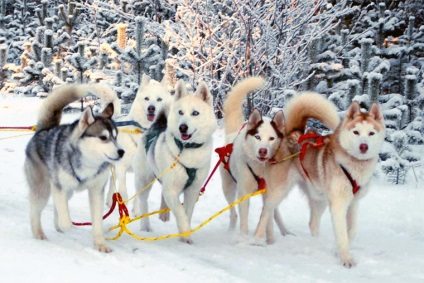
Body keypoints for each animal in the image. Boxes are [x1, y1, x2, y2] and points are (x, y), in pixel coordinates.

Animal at [25, 84, 124, 253]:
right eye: (103, 137)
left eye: (116, 137)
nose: (121, 152)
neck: (88, 163)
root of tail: (44, 130)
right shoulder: (58, 186)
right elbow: (65, 216)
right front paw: (66, 225)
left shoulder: (96, 190)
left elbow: (97, 222)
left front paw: (100, 244)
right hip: (43, 188)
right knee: (35, 211)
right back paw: (39, 233)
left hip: (68, 191)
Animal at [106, 74, 172, 206]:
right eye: (146, 98)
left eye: (159, 99)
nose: (151, 108)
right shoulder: (122, 168)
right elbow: (124, 193)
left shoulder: (142, 174)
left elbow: (138, 197)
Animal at [133, 79, 219, 244]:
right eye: (180, 112)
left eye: (195, 113)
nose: (182, 127)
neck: (188, 149)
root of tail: (157, 125)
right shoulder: (172, 189)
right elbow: (180, 212)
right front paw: (185, 234)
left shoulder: (193, 190)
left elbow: (187, 212)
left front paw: (184, 234)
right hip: (144, 180)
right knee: (143, 201)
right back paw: (145, 226)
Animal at [219, 77, 288, 242]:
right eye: (257, 137)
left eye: (271, 138)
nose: (263, 151)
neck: (259, 169)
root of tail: (232, 135)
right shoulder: (243, 193)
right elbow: (244, 220)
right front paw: (244, 239)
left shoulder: (268, 192)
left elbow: (267, 218)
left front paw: (270, 241)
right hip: (228, 188)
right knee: (233, 214)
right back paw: (231, 231)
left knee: (274, 211)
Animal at [253, 92, 386, 268]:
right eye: (356, 132)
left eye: (371, 133)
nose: (363, 146)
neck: (353, 165)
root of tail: (293, 133)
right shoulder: (338, 205)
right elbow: (342, 234)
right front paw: (346, 259)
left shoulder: (353, 203)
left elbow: (351, 232)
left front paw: (338, 251)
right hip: (279, 190)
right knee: (266, 212)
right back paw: (258, 239)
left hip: (319, 198)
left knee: (312, 223)